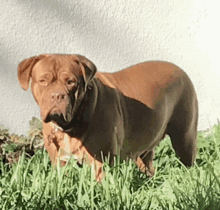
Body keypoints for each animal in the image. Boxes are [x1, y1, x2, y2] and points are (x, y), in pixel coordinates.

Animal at [18, 53, 199, 180]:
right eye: (43, 81)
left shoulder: (101, 162)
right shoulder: (59, 162)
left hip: (184, 138)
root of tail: (181, 71)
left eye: (71, 82)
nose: (57, 95)